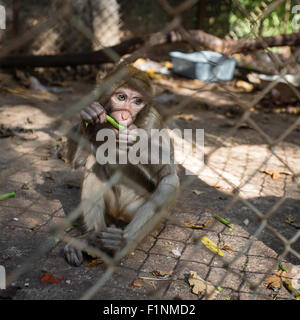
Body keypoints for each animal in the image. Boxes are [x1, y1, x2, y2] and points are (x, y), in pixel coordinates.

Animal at [64, 63, 178, 266]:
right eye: (121, 97)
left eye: (137, 101)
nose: (125, 115)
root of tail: (119, 215)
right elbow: (77, 163)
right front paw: (88, 117)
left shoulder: (153, 121)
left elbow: (168, 174)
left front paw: (136, 137)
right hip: (110, 211)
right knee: (93, 161)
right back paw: (92, 238)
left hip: (133, 212)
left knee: (168, 184)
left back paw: (118, 245)